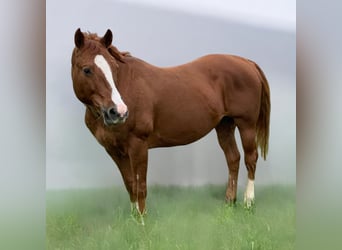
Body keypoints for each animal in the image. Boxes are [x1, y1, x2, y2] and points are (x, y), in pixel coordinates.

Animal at [71, 27, 270, 221]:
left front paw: (142, 221)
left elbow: (140, 185)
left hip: (246, 125)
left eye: (114, 67)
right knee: (233, 158)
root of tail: (246, 62)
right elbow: (130, 184)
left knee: (250, 158)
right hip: (224, 125)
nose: (118, 112)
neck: (127, 87)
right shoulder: (114, 150)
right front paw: (134, 218)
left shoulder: (138, 145)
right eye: (87, 70)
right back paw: (229, 201)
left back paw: (248, 203)